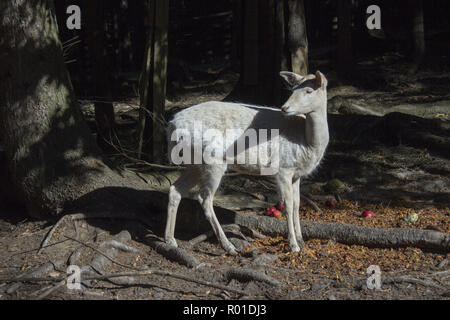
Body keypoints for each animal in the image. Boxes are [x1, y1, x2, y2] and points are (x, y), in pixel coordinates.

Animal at [163, 70, 328, 255]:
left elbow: (297, 204)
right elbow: (288, 204)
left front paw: (302, 240)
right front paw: (294, 245)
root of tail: (172, 126)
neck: (308, 143)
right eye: (292, 90)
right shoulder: (282, 168)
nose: (285, 108)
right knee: (204, 198)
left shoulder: (297, 173)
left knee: (175, 189)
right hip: (212, 160)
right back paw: (229, 246)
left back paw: (170, 240)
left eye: (308, 90)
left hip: (194, 162)